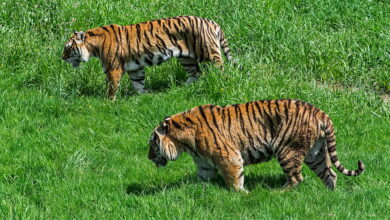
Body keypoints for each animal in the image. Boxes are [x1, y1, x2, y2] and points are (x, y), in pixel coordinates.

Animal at [61, 15, 232, 100]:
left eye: (67, 48)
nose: (62, 58)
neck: (93, 47)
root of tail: (212, 22)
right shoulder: (135, 68)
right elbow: (138, 83)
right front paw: (144, 96)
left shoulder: (113, 69)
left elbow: (111, 87)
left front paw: (108, 103)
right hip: (186, 58)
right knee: (196, 73)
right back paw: (185, 87)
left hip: (208, 52)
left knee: (220, 69)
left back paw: (221, 83)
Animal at [149, 99, 366, 192]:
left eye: (152, 144)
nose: (149, 158)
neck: (183, 141)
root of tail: (320, 112)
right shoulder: (204, 164)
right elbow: (203, 180)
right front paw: (199, 192)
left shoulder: (229, 157)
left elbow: (234, 179)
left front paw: (241, 194)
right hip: (316, 153)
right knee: (331, 174)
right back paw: (331, 195)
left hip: (287, 150)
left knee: (296, 178)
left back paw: (277, 193)